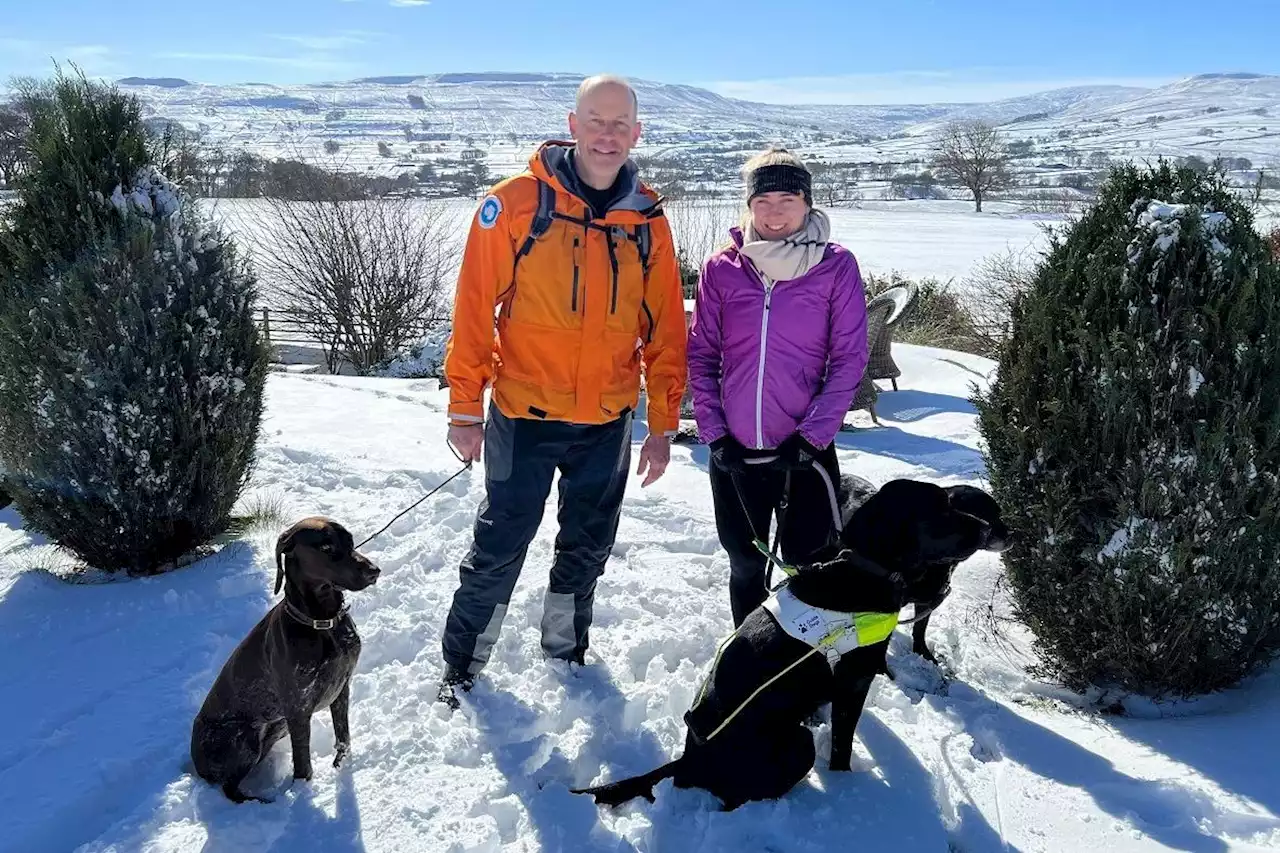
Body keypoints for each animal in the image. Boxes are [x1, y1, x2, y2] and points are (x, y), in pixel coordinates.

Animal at [189, 514, 378, 799]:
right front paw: (301, 795)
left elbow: (343, 738)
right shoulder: (298, 708)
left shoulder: (341, 687)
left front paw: (342, 765)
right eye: (326, 547)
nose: (374, 570)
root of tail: (195, 764)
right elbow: (303, 766)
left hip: (274, 729)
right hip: (244, 737)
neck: (322, 623)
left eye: (351, 541)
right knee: (230, 789)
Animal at [573, 473, 1008, 809]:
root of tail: (686, 761)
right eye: (941, 508)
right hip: (798, 743)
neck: (861, 564)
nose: (991, 529)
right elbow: (842, 745)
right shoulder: (855, 681)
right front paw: (846, 785)